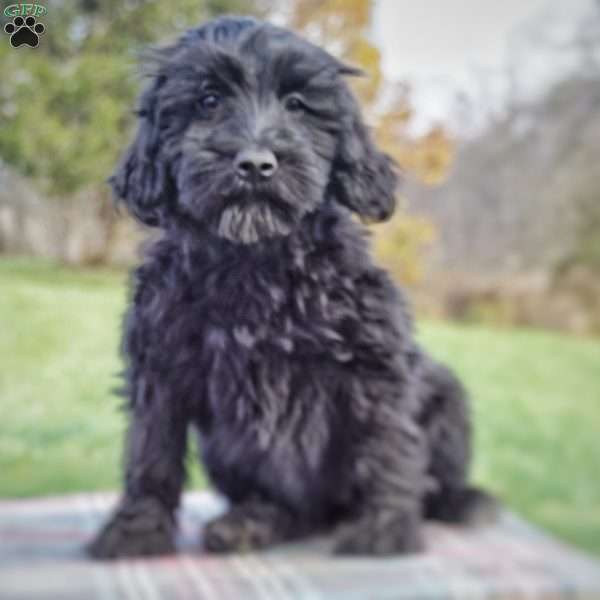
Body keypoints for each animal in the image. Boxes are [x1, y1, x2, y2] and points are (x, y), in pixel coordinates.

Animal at [86, 16, 494, 560]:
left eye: (297, 104)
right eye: (209, 100)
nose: (256, 164)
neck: (256, 260)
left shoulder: (376, 365)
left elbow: (387, 444)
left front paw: (385, 530)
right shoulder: (159, 366)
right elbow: (151, 453)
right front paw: (137, 530)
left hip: (447, 394)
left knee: (431, 483)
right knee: (291, 509)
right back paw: (251, 524)